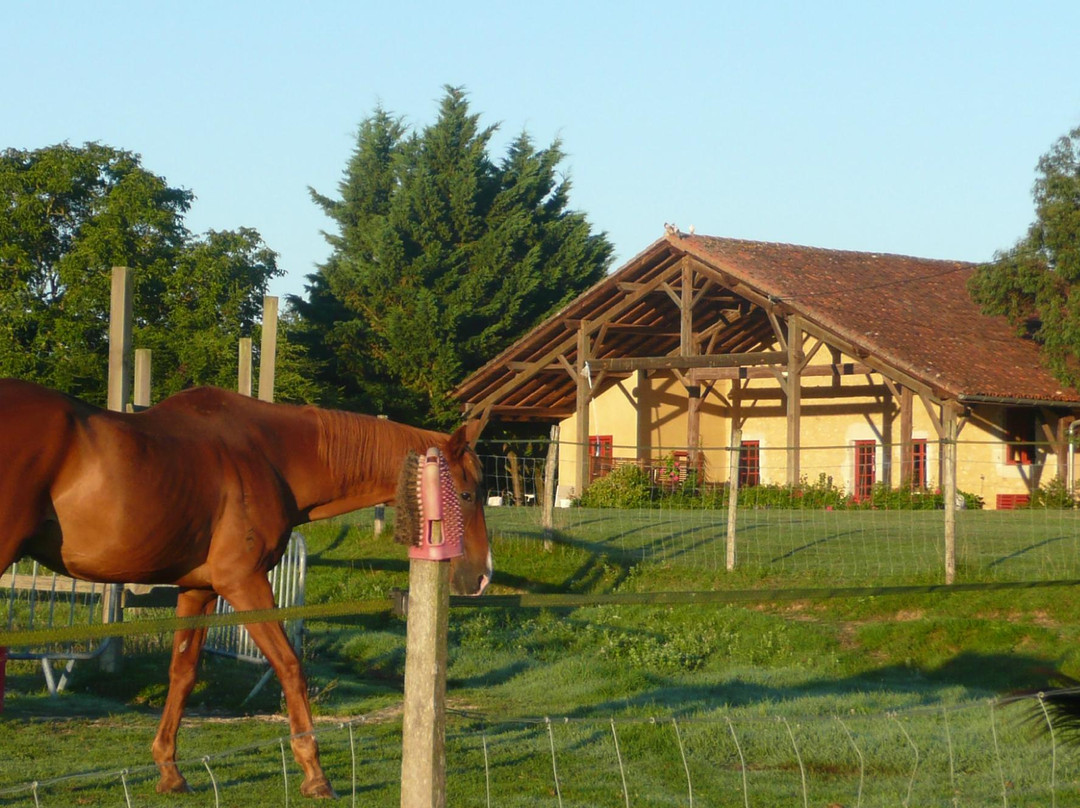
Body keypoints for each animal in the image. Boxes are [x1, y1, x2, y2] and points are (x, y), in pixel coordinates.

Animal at [0, 378, 492, 795]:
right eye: (467, 494)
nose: (483, 575)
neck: (270, 455)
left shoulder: (198, 590)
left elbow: (183, 673)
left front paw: (170, 771)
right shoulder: (245, 582)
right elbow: (290, 666)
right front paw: (314, 773)